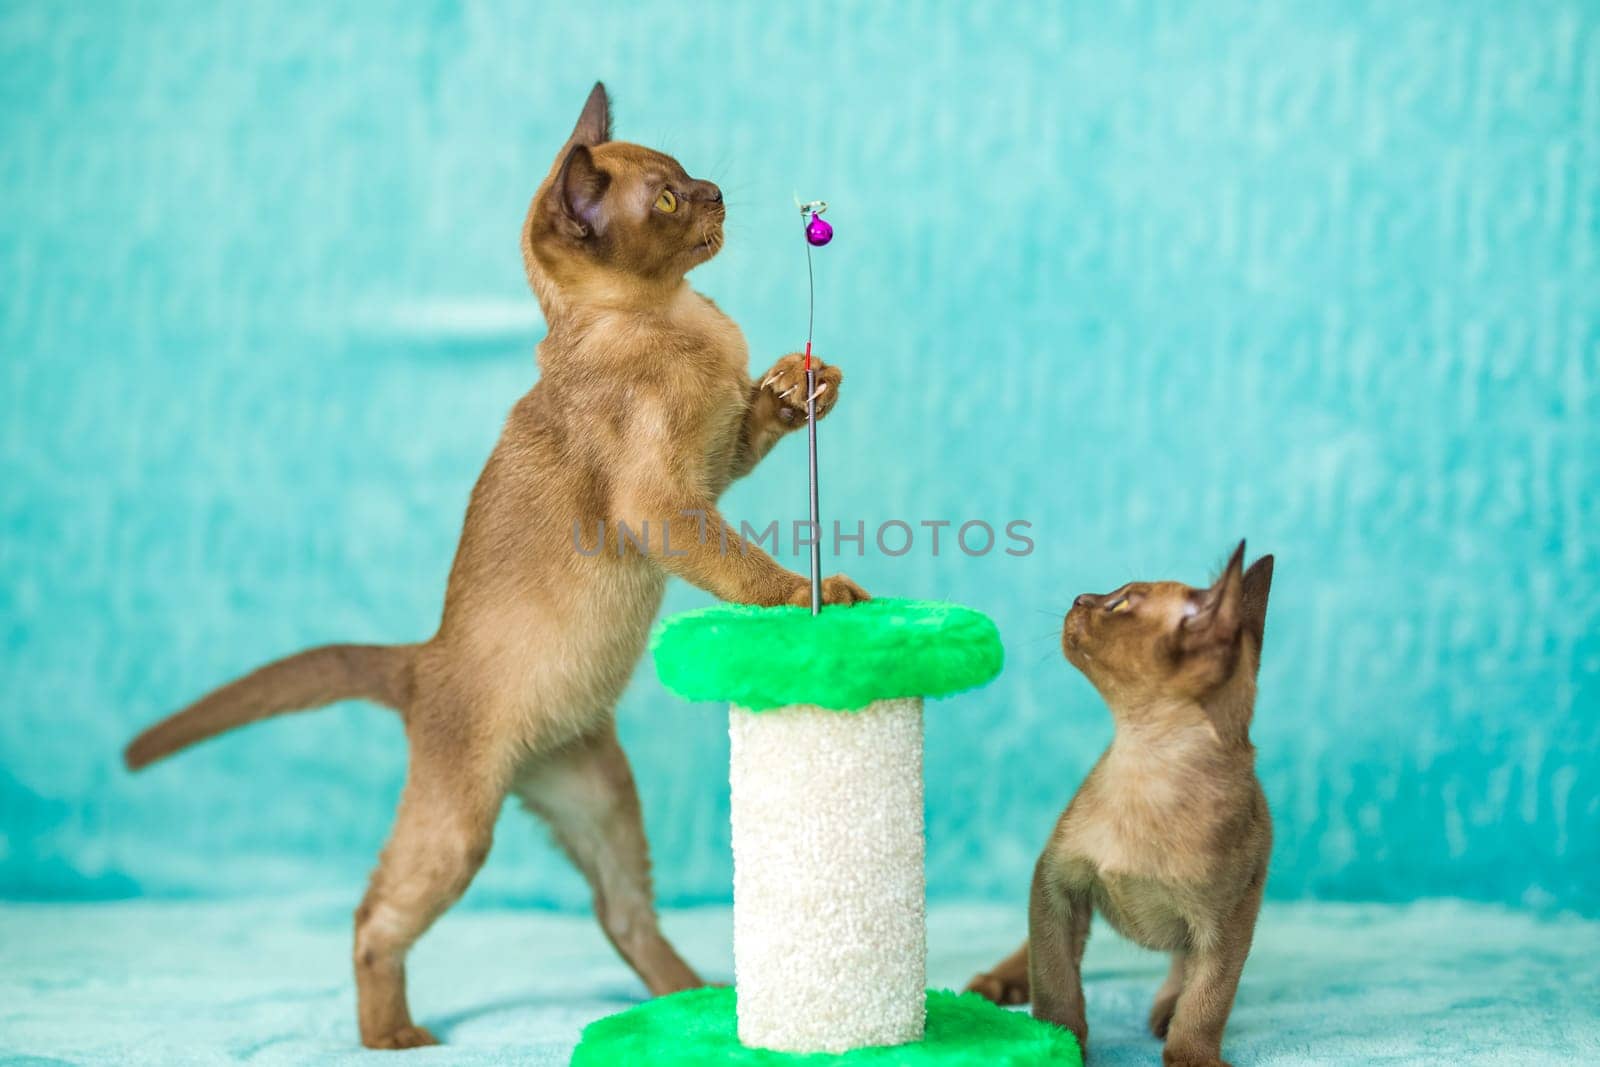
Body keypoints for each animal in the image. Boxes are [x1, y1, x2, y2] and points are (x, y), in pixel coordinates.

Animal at [126, 85, 870, 1049]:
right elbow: (744, 566)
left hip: (601, 798)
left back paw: (691, 999)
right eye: (668, 200)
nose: (714, 191)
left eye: (685, 176)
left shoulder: (717, 466)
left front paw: (801, 385)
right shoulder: (664, 505)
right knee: (374, 917)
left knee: (621, 912)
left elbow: (759, 422)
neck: (676, 315)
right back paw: (395, 1038)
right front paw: (810, 597)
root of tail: (422, 659)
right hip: (461, 830)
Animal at [960, 543, 1273, 1067]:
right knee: (1036, 953)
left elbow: (1206, 1002)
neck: (1144, 763)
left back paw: (1164, 1011)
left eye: (1122, 604)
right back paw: (997, 984)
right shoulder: (1056, 884)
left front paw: (1190, 1056)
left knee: (1180, 972)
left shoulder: (1224, 928)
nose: (1080, 597)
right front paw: (1060, 1044)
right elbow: (1055, 981)